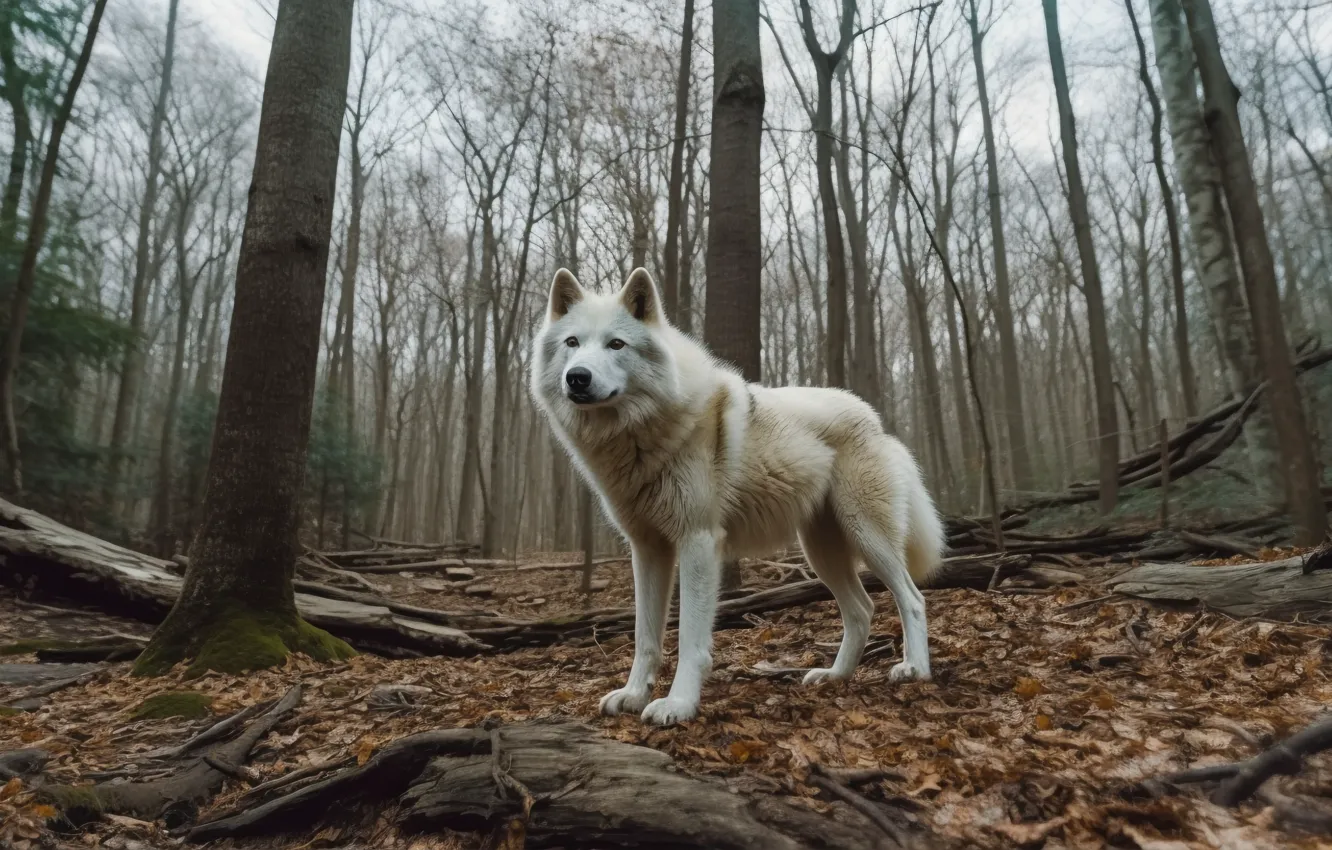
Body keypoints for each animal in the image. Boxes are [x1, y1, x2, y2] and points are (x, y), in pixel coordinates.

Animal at [529, 266, 945, 726]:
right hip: (822, 553)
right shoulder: (647, 549)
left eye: (616, 344)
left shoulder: (698, 542)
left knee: (912, 599)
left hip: (868, 538)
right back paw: (834, 676)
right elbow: (645, 638)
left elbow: (690, 639)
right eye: (572, 343)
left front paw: (678, 704)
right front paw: (633, 695)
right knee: (862, 610)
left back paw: (915, 670)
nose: (577, 377)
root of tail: (875, 419)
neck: (639, 438)